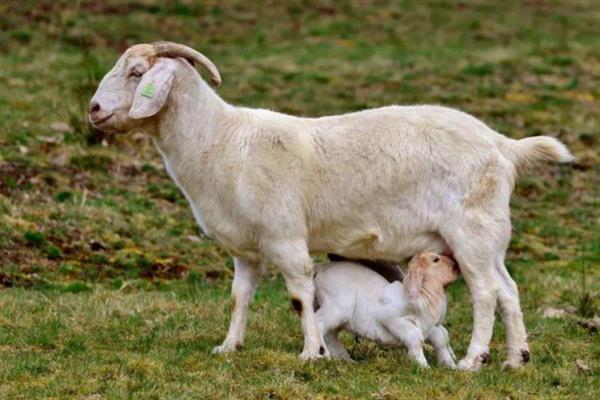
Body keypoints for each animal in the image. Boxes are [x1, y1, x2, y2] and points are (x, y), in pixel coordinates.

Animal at [88, 42, 572, 370]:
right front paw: (229, 347)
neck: (222, 141)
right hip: (489, 235)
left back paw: (473, 360)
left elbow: (300, 296)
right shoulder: (246, 248)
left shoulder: (285, 236)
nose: (93, 110)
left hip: (470, 233)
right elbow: (239, 297)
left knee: (486, 292)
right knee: (509, 289)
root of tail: (503, 145)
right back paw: (516, 357)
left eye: (136, 72)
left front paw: (310, 352)